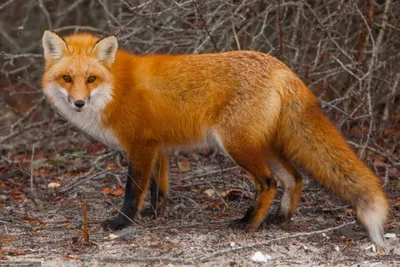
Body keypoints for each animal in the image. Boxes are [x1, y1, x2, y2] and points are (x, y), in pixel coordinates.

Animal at [42, 30, 390, 247]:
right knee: (295, 178)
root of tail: (282, 67)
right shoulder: (159, 148)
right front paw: (156, 216)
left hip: (238, 146)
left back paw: (249, 224)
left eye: (91, 79)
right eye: (67, 78)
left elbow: (133, 191)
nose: (78, 103)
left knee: (269, 182)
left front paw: (121, 222)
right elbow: (158, 189)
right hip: (264, 145)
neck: (115, 89)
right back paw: (280, 219)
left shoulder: (140, 146)